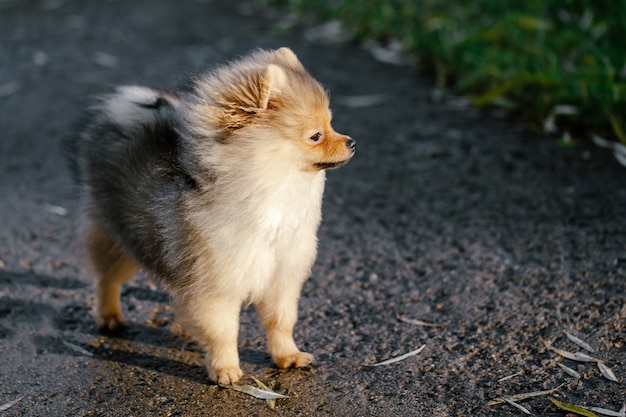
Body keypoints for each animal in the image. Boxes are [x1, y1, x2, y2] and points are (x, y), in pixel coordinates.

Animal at [70, 48, 354, 384]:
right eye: (315, 136)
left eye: (332, 123)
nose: (352, 142)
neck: (275, 193)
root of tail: (120, 117)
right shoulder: (215, 284)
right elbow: (223, 332)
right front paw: (226, 369)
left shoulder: (281, 276)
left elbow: (281, 322)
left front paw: (288, 355)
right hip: (118, 237)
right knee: (107, 279)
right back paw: (110, 316)